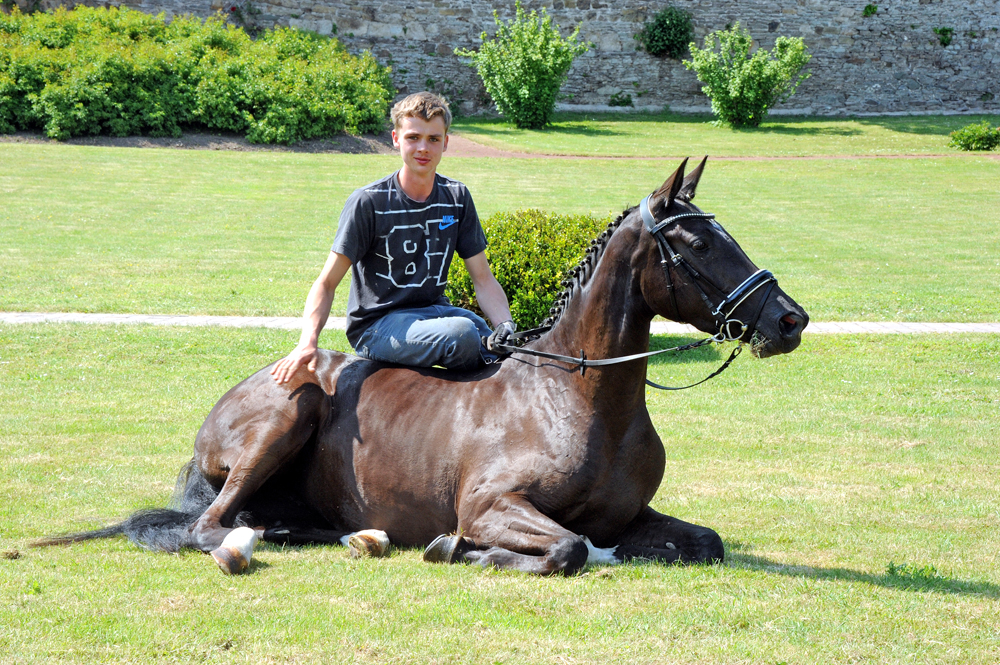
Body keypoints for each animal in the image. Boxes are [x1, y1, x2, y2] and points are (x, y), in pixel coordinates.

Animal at [37, 158, 812, 572]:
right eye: (697, 243)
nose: (789, 319)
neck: (575, 396)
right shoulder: (492, 505)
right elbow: (567, 549)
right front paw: (456, 549)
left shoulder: (631, 515)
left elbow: (703, 542)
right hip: (292, 409)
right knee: (211, 526)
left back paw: (355, 534)